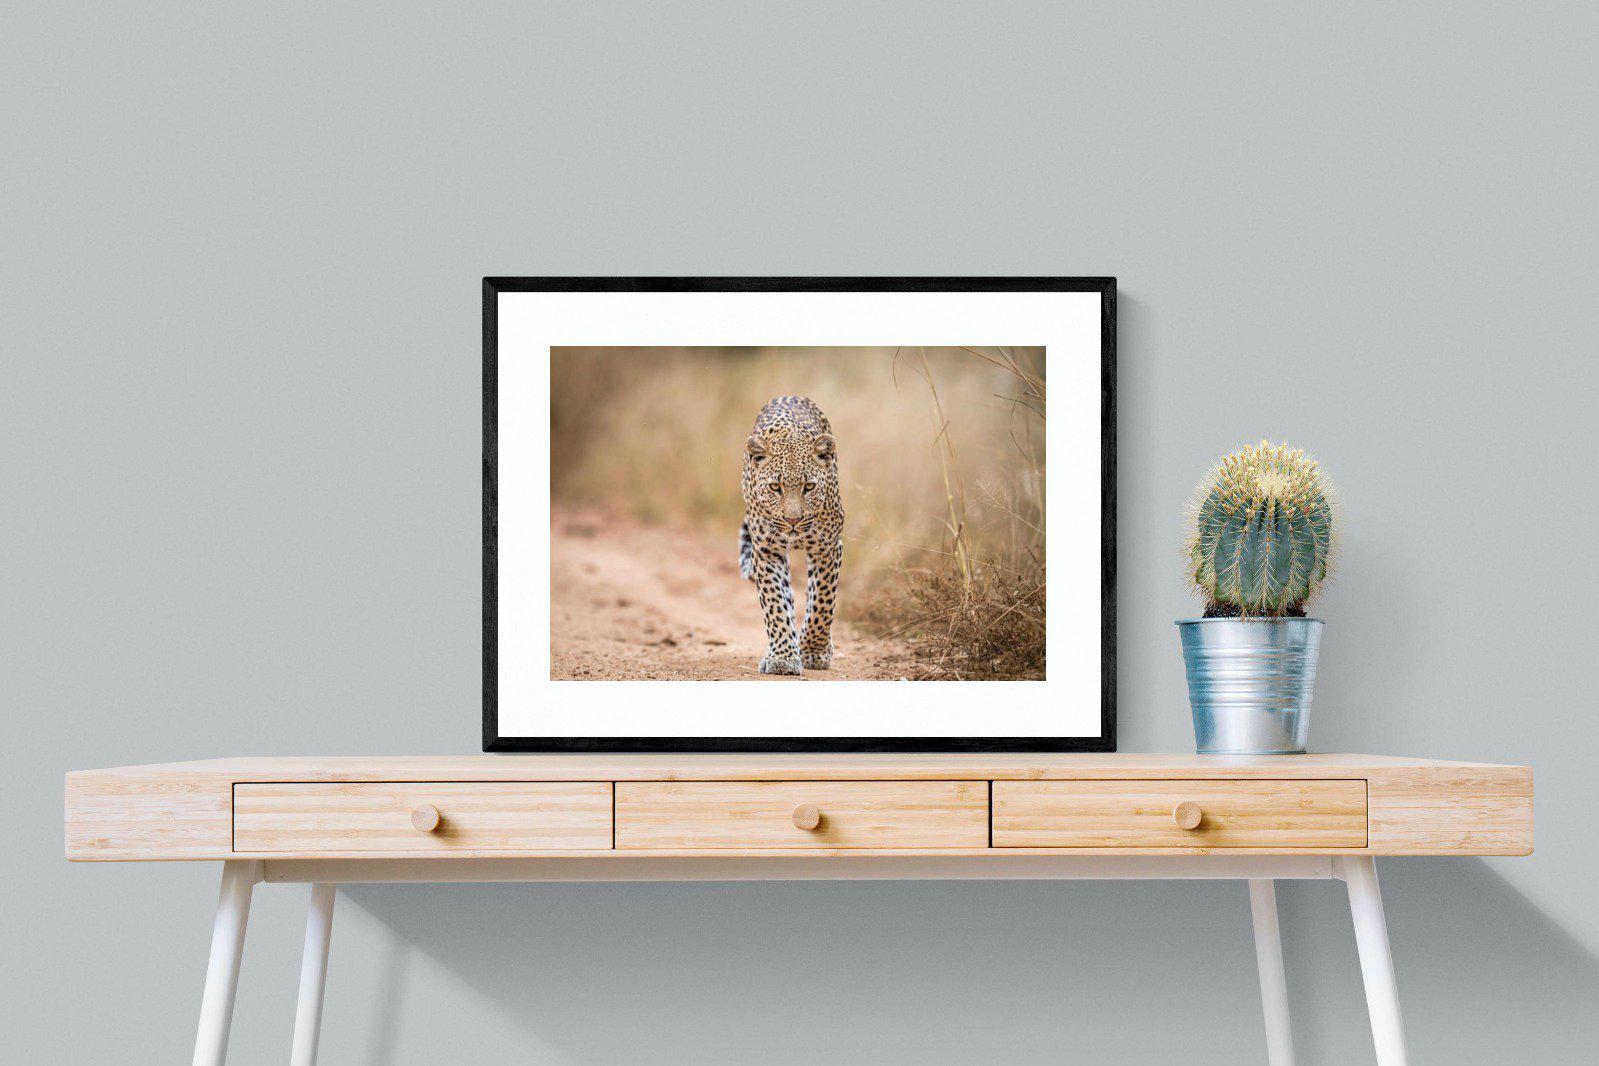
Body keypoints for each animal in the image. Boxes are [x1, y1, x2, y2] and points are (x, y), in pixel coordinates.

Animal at [738, 396, 844, 675]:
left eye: (809, 487)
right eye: (776, 487)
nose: (793, 520)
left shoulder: (827, 546)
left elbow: (822, 603)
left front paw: (814, 651)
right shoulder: (766, 550)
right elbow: (775, 603)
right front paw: (783, 658)